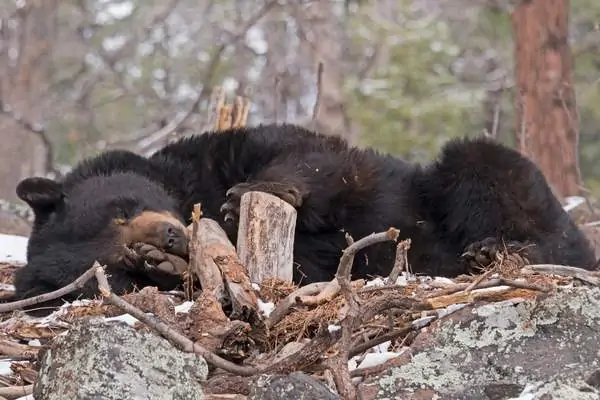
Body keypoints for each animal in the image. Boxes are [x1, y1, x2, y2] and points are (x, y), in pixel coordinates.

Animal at [3, 122, 596, 316]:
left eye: (121, 208)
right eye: (128, 266)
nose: (170, 238)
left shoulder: (215, 154)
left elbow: (310, 154)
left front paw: (251, 191)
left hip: (465, 182)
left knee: (482, 167)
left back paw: (498, 249)